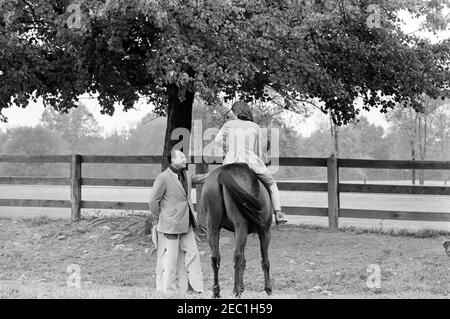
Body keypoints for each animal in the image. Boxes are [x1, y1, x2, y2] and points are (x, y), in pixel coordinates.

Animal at [201, 164, 272, 298]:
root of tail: (222, 174)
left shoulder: (235, 232)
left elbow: (244, 260)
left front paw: (241, 286)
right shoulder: (265, 232)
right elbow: (265, 261)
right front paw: (268, 288)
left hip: (213, 228)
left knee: (215, 258)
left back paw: (216, 291)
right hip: (241, 226)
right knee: (237, 256)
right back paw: (236, 290)